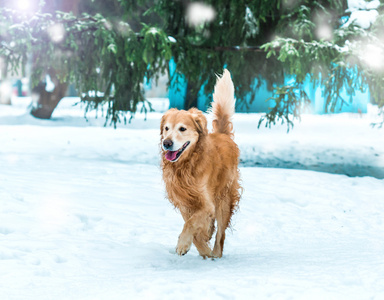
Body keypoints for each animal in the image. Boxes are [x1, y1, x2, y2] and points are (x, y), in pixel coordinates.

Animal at [160, 69, 242, 258]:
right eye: (166, 128)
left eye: (182, 128)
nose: (166, 143)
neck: (186, 165)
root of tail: (223, 135)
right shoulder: (184, 202)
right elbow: (194, 228)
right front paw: (200, 247)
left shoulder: (207, 203)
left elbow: (191, 223)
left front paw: (184, 244)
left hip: (224, 199)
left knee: (221, 235)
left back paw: (216, 254)